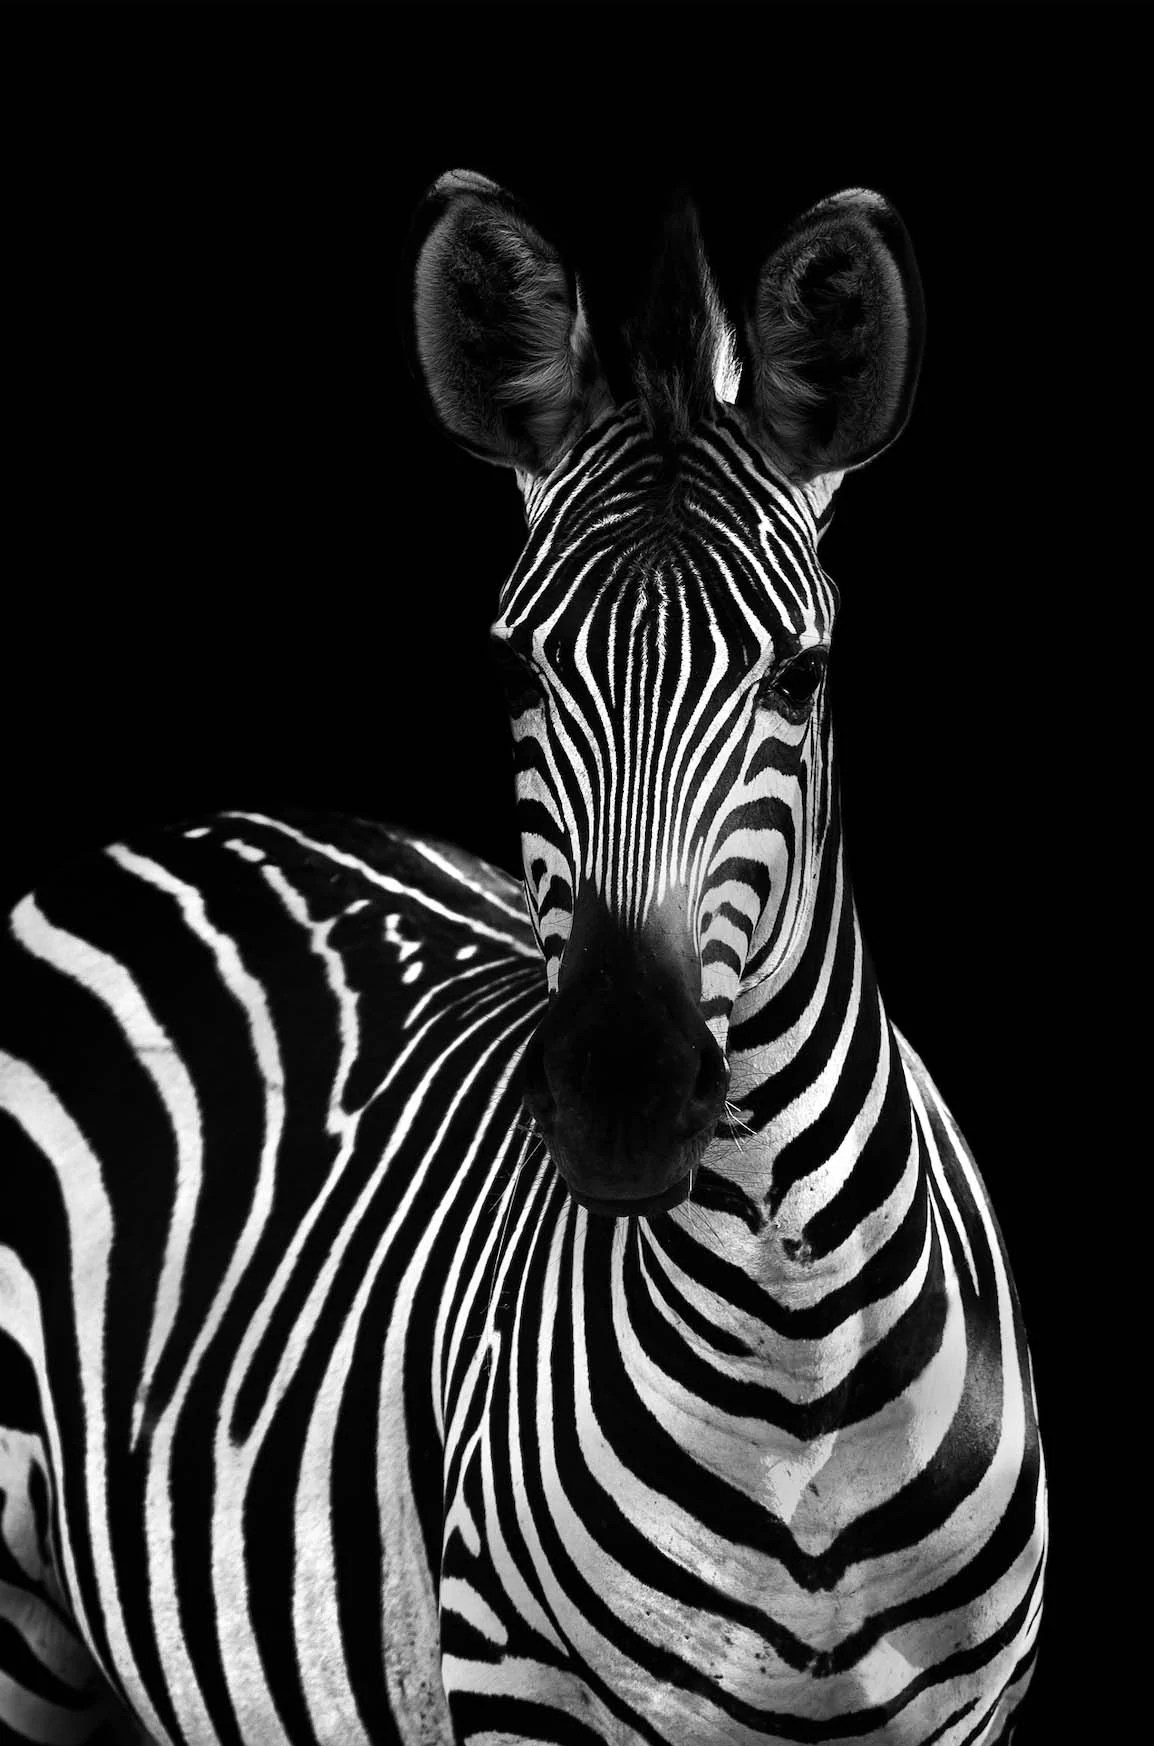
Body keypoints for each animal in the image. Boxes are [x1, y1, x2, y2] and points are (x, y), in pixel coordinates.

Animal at [0, 170, 1046, 1745]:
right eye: (512, 668)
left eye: (802, 675)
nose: (621, 1100)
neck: (797, 1369)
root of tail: (178, 831)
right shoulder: (512, 1686)